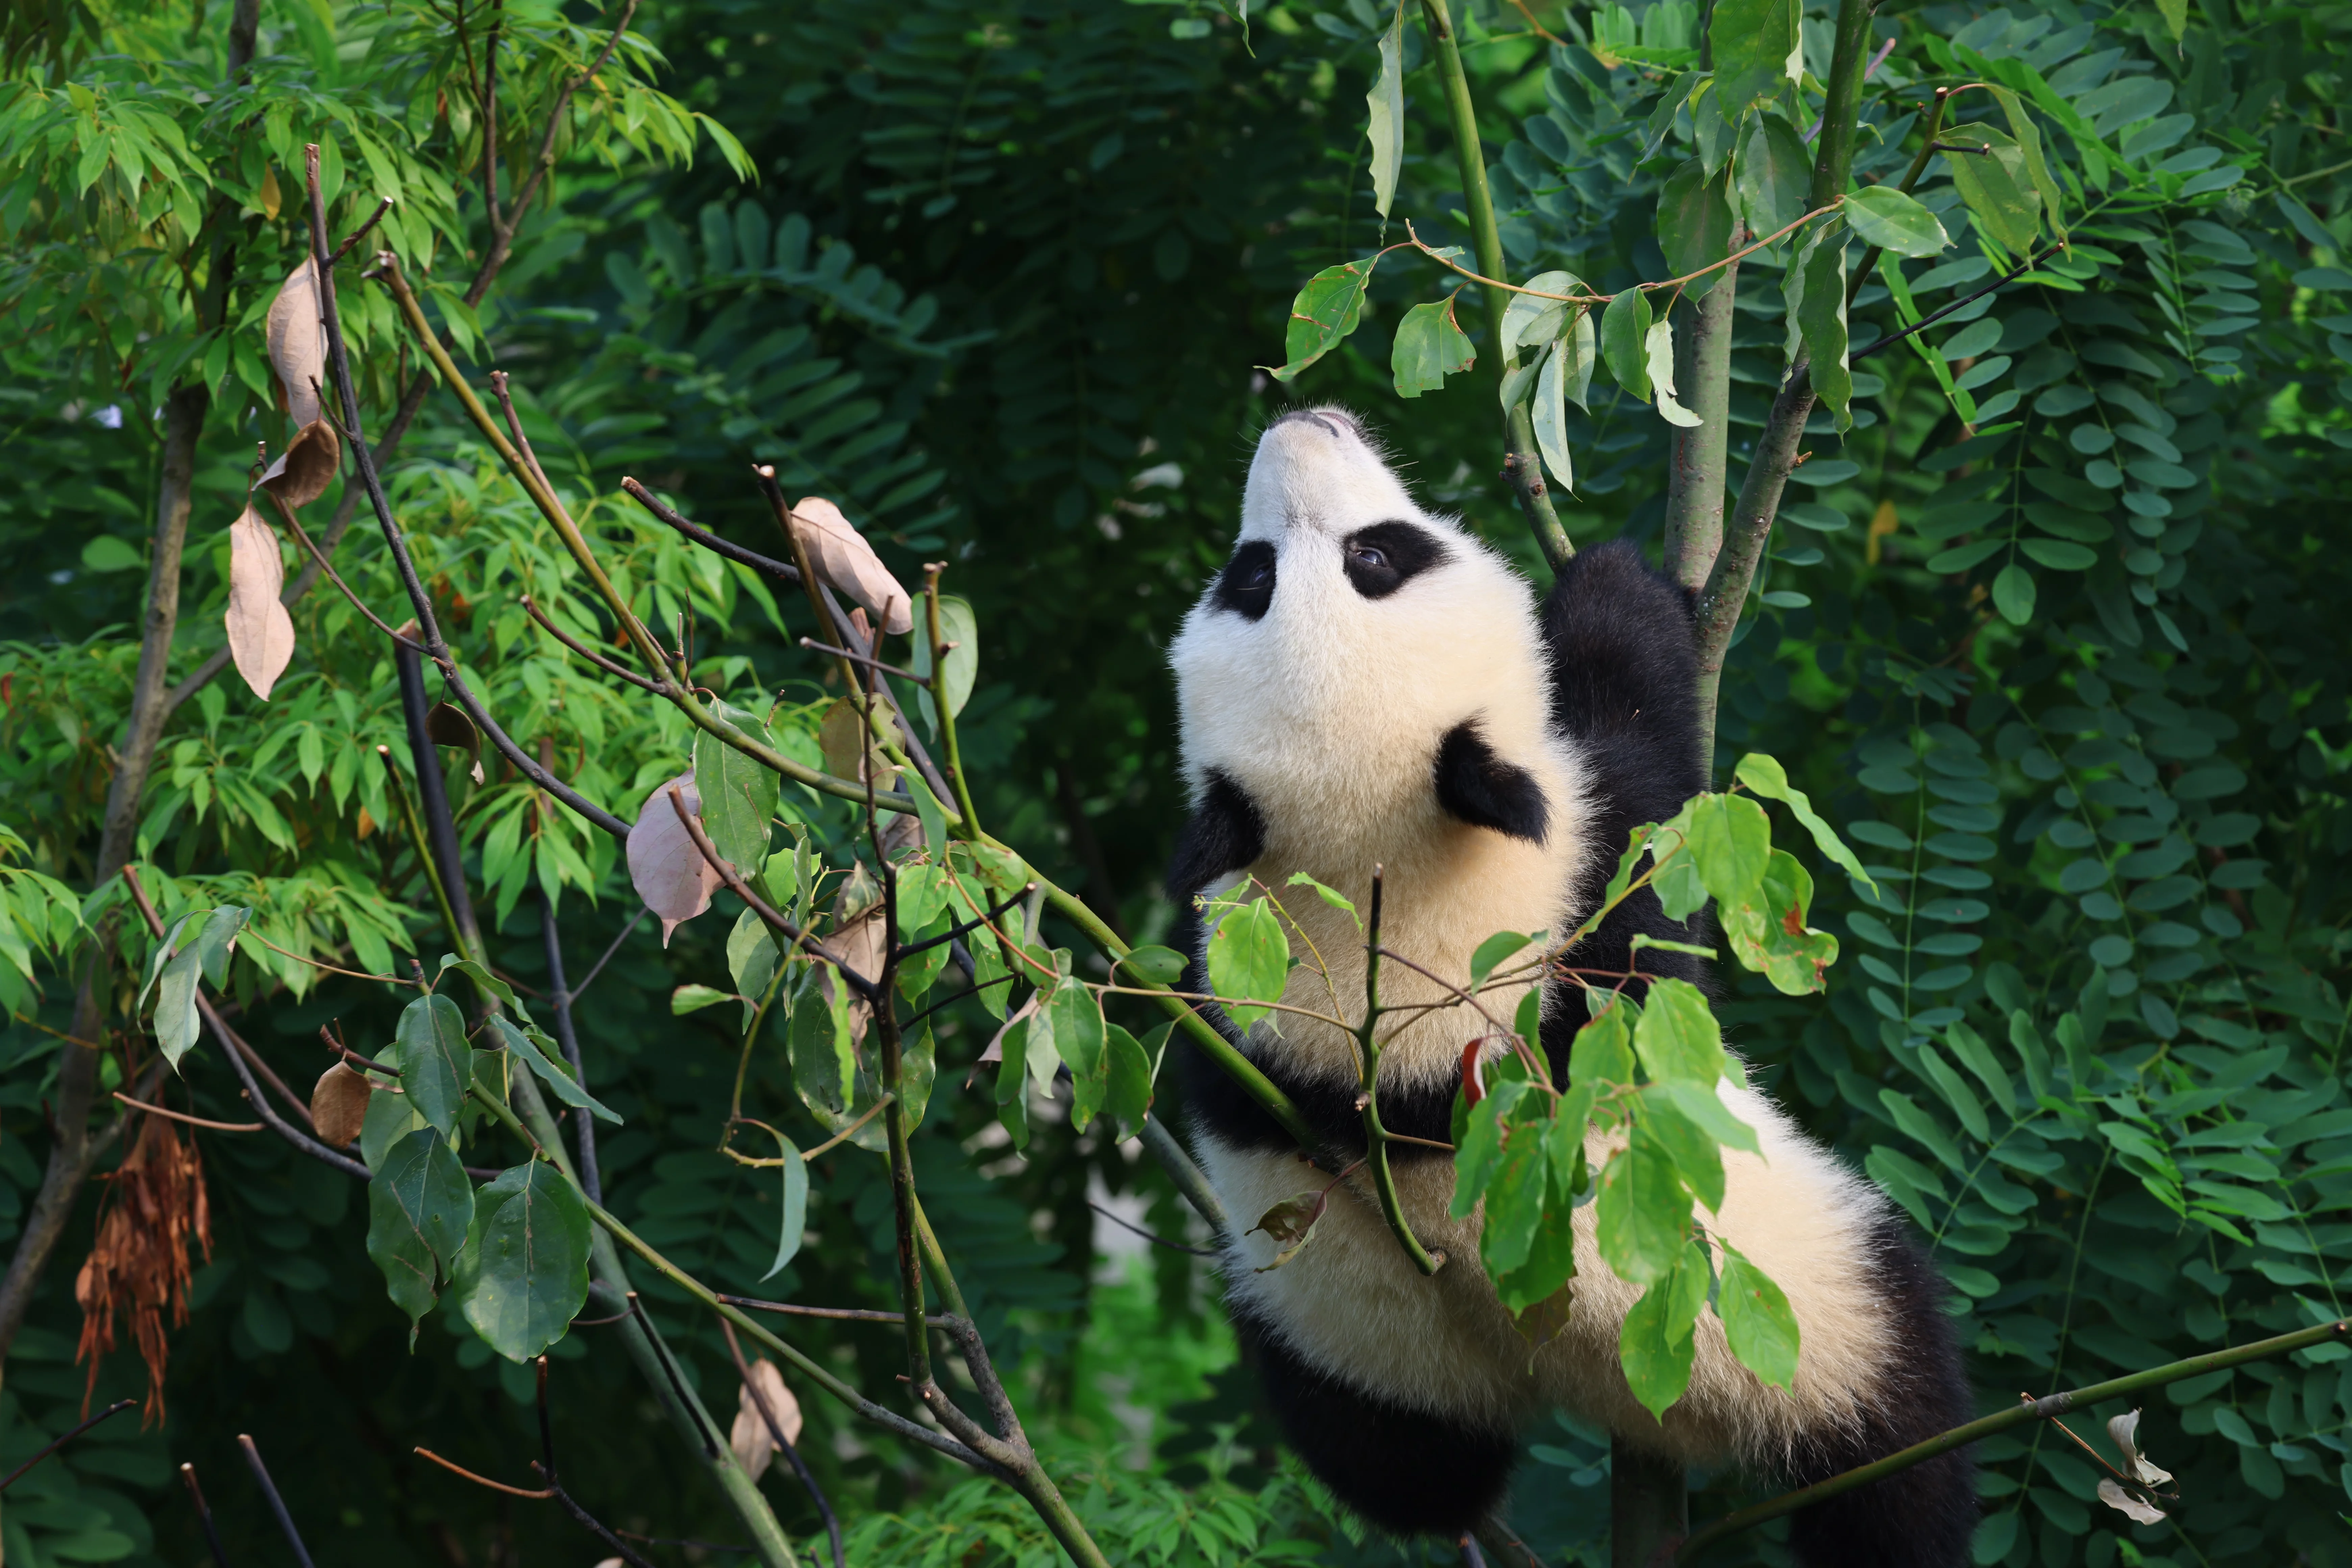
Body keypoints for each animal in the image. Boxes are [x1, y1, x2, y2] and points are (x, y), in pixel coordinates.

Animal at [1163, 407, 1975, 1567]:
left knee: (1406, 1472)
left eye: (1255, 576)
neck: (1381, 891)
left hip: (1355, 1355)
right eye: (1378, 559)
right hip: (1811, 1318)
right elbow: (1648, 782)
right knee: (1899, 1445)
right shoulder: (1584, 904)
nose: (1300, 422)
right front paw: (1616, 577)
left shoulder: (1234, 1008)